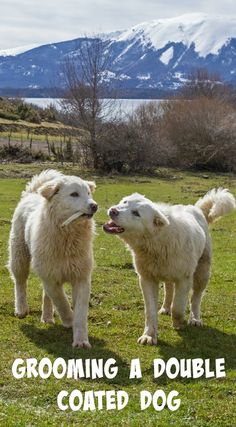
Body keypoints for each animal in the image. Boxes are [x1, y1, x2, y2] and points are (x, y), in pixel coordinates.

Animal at [8, 169, 97, 350]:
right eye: (74, 194)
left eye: (88, 193)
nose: (94, 206)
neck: (68, 235)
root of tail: (31, 194)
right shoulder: (51, 277)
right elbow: (62, 302)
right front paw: (69, 320)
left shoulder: (81, 277)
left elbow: (80, 313)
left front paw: (81, 340)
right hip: (20, 257)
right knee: (20, 283)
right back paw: (21, 309)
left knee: (45, 294)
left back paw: (47, 317)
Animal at [104, 189, 235, 346]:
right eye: (125, 202)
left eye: (136, 213)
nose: (113, 210)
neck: (156, 240)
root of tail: (194, 208)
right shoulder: (147, 280)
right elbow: (150, 311)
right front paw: (149, 335)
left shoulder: (184, 279)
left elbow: (178, 307)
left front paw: (178, 324)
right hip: (168, 273)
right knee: (169, 289)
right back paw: (165, 308)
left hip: (202, 273)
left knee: (196, 298)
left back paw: (195, 319)